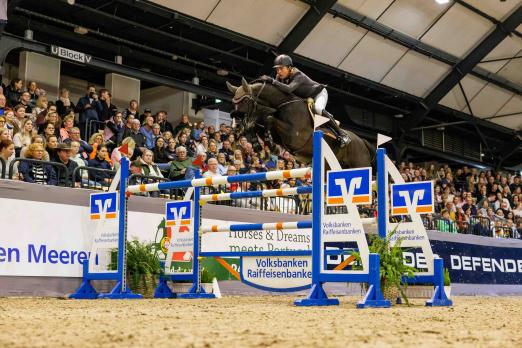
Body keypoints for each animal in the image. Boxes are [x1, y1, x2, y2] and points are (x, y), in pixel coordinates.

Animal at [225, 78, 372, 170]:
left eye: (245, 101)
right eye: (233, 102)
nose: (236, 127)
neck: (283, 105)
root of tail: (363, 141)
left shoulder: (294, 138)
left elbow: (269, 118)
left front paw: (271, 146)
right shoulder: (281, 137)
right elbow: (261, 124)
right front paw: (259, 147)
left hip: (359, 163)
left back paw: (344, 138)